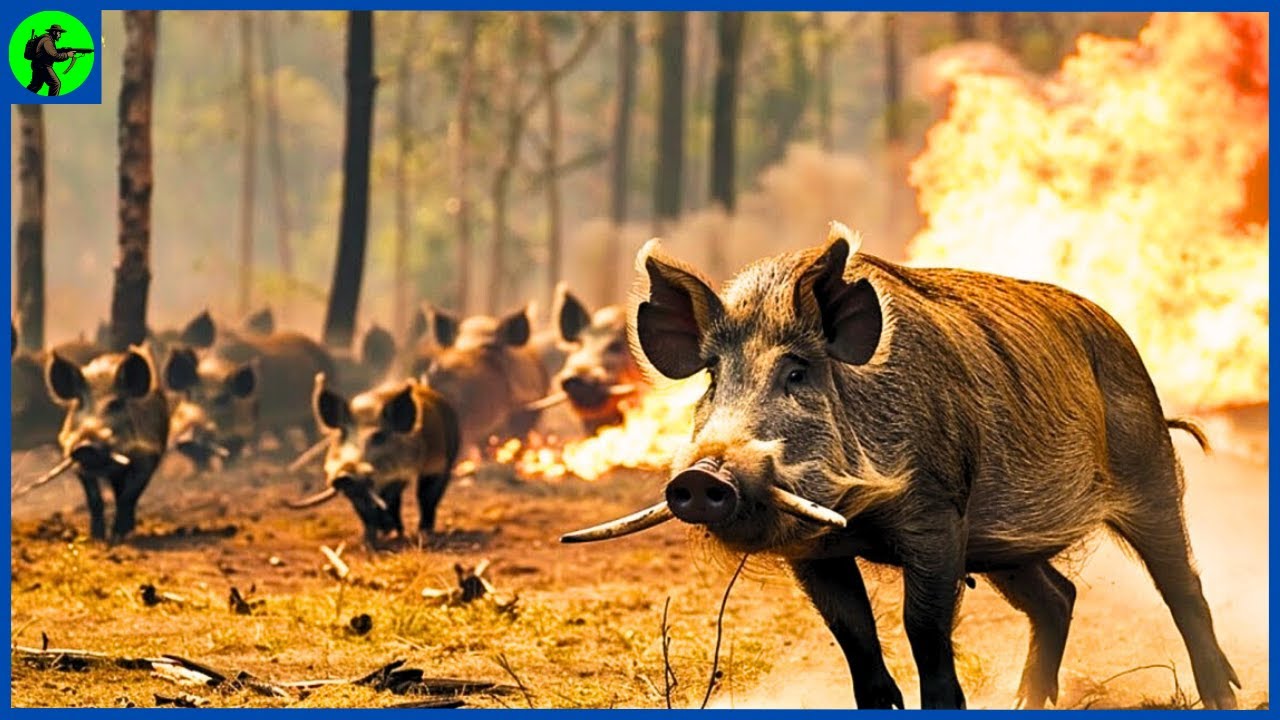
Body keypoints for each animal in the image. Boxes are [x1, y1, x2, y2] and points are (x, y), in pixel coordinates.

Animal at [45, 345, 169, 541]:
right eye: (80, 403)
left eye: (115, 404)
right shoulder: (77, 463)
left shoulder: (149, 457)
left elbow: (129, 497)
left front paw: (119, 536)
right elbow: (95, 500)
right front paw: (97, 537)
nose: (86, 445)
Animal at [286, 374, 460, 548]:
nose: (346, 473)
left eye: (379, 436)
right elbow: (365, 510)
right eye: (343, 433)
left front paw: (421, 535)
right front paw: (368, 543)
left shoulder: (435, 465)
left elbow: (426, 497)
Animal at [562, 223, 1240, 710]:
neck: (860, 517)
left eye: (797, 373)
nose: (702, 477)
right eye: (711, 377)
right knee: (1059, 596)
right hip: (1004, 546)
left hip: (1150, 473)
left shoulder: (938, 517)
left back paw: (1222, 697)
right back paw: (1027, 703)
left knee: (1184, 587)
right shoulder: (816, 554)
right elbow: (856, 641)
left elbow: (925, 634)